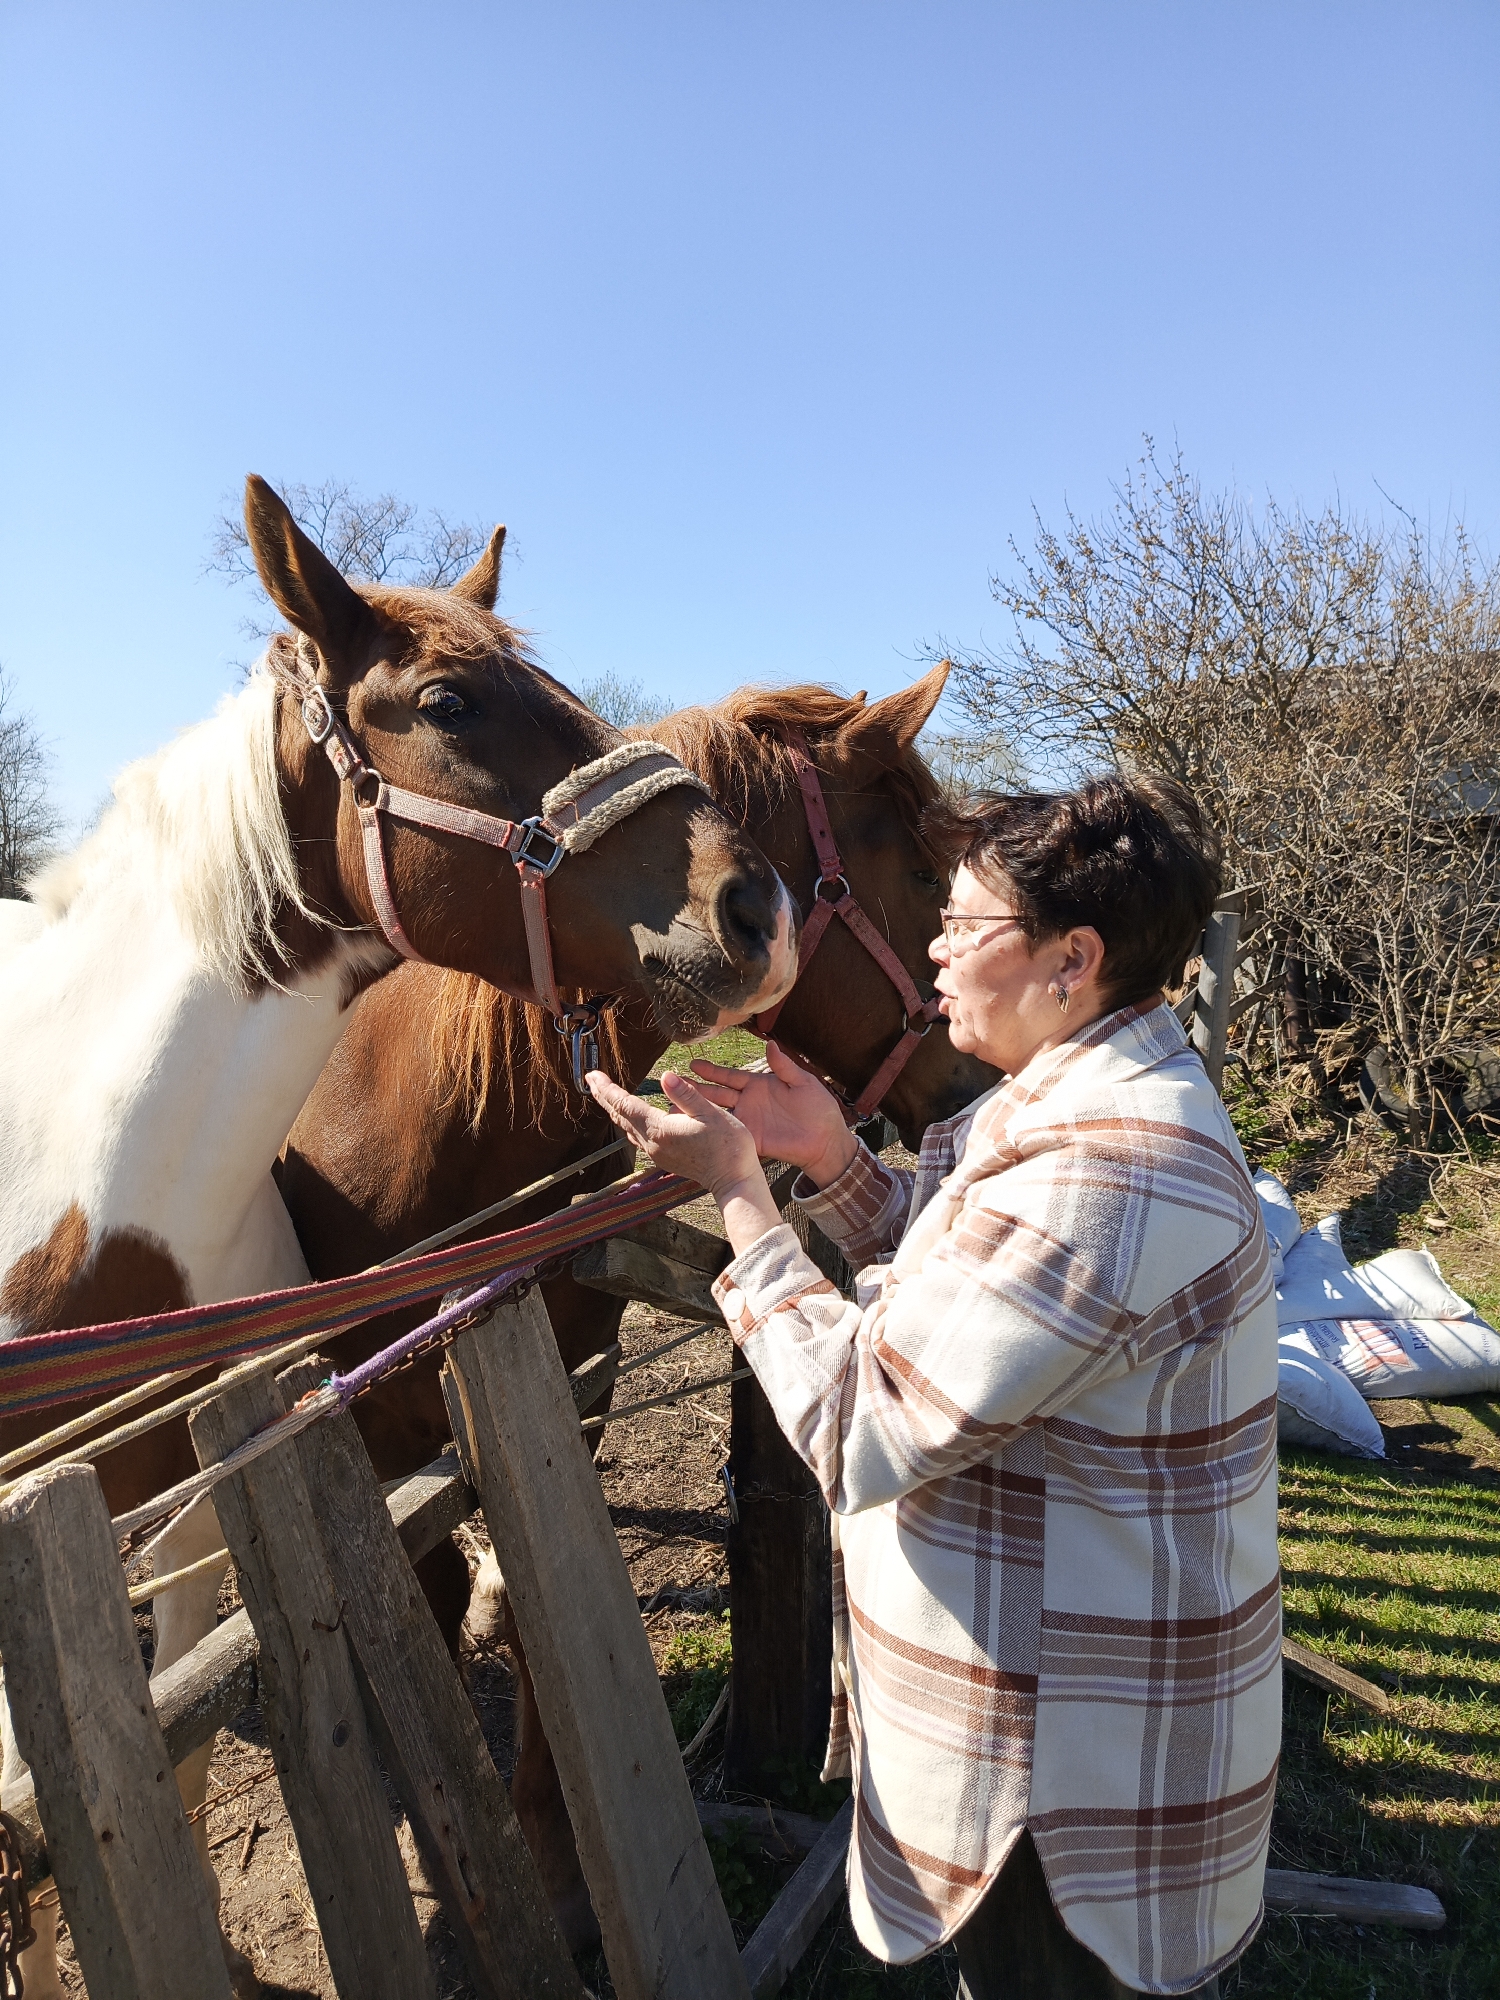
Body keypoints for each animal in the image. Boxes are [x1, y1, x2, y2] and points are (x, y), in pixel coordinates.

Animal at [277, 663, 997, 1946]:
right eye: (920, 875)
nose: (975, 1078)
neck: (446, 1134)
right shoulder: (363, 1422)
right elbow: (428, 1587)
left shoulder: (568, 1382)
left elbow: (533, 1599)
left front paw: (556, 1864)